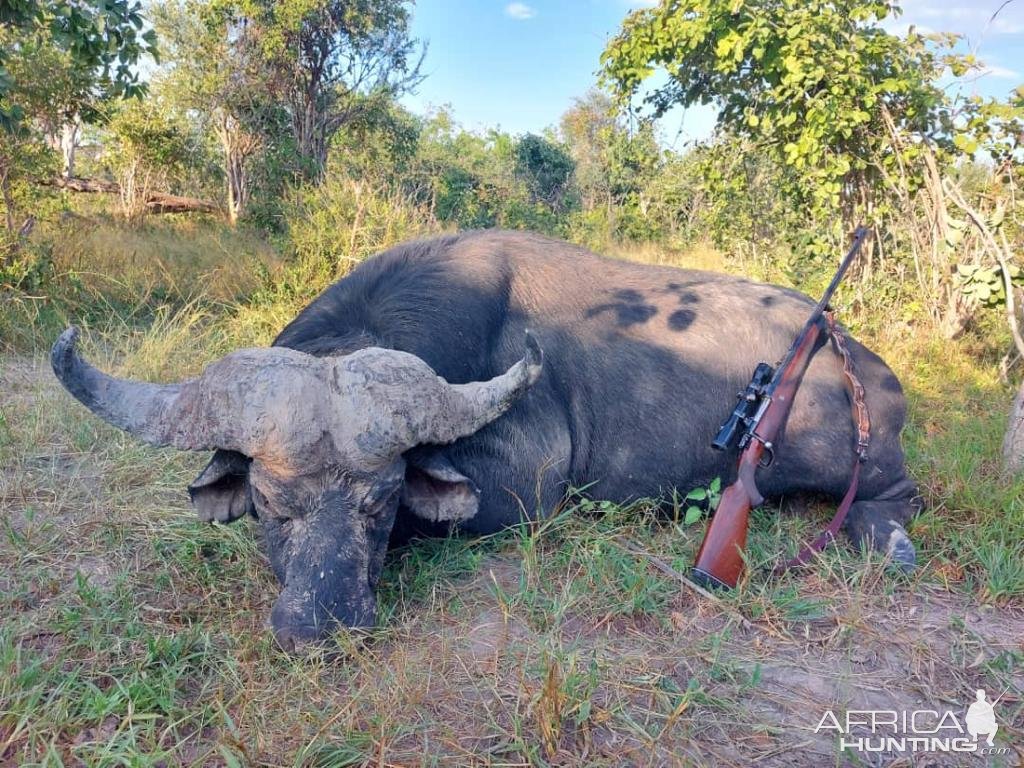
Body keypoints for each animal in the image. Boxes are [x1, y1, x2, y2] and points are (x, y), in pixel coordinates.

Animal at [51, 228, 921, 651]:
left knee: (891, 496)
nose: (319, 628)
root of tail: (866, 364)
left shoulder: (527, 492)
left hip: (837, 455)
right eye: (267, 503)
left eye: (383, 500)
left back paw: (891, 540)